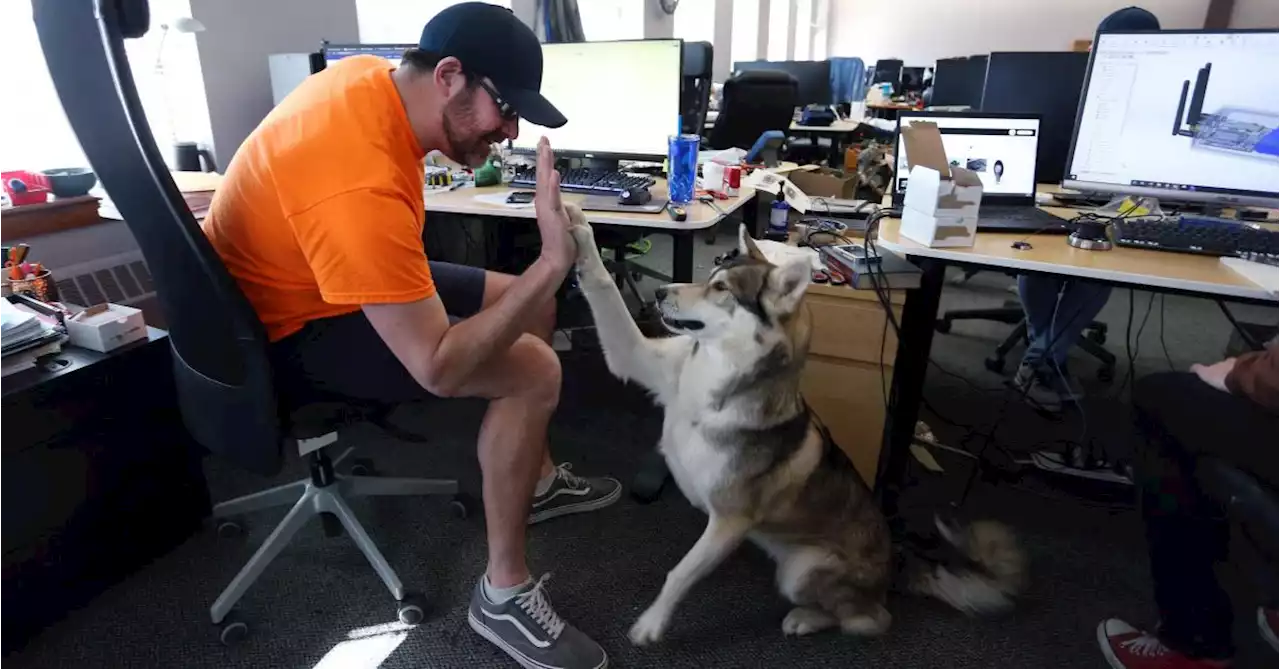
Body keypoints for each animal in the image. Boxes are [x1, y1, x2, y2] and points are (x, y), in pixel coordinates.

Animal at [570, 207, 1029, 647]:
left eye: (722, 290)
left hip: (803, 571)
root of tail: (896, 567)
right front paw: (577, 226)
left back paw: (806, 620)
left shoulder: (729, 522)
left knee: (870, 620)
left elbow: (680, 574)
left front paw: (652, 623)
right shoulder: (635, 357)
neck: (717, 375)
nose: (660, 293)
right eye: (710, 277)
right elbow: (604, 289)